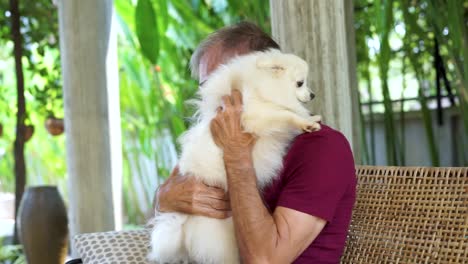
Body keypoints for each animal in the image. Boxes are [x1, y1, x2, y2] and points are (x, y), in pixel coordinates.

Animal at [148, 48, 320, 262]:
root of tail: (186, 223)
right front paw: (306, 123)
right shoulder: (255, 117)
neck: (260, 89)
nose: (313, 94)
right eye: (300, 83)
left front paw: (310, 118)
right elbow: (287, 115)